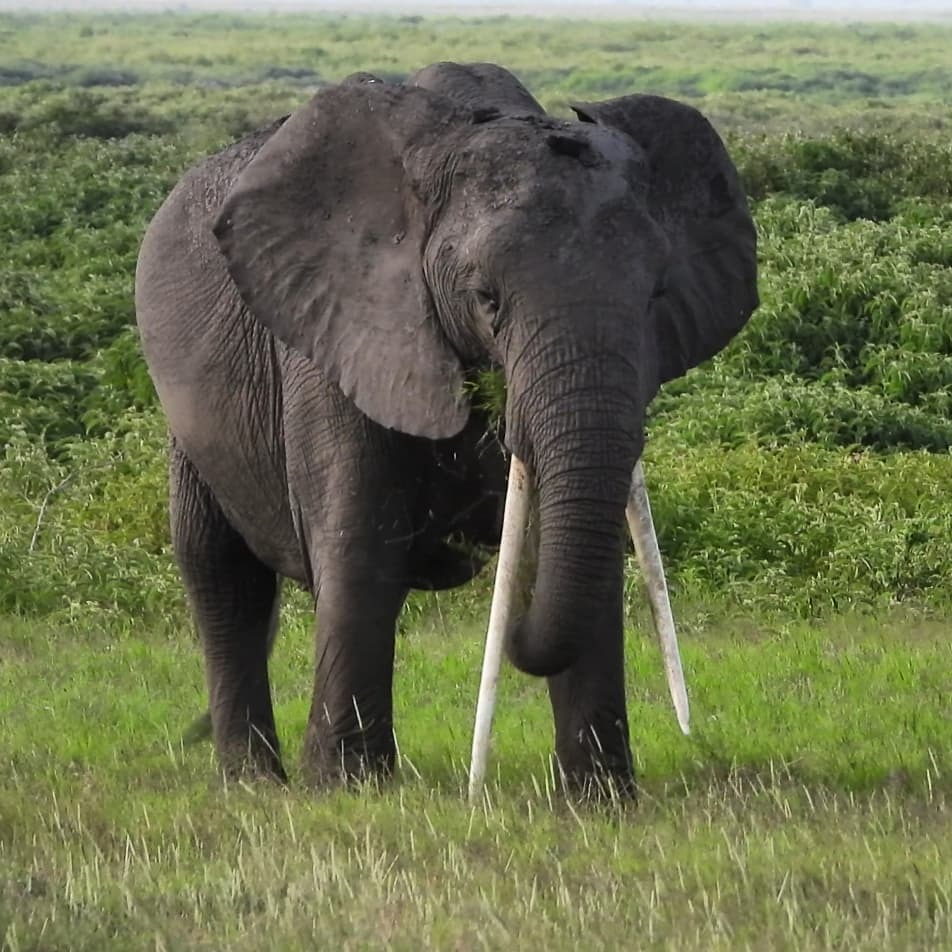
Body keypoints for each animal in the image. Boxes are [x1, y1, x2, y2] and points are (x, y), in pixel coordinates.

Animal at [135, 62, 758, 795]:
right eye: (486, 299)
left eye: (657, 296)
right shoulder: (339, 331)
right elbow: (362, 544)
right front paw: (347, 789)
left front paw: (598, 799)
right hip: (188, 414)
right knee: (220, 571)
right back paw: (253, 784)